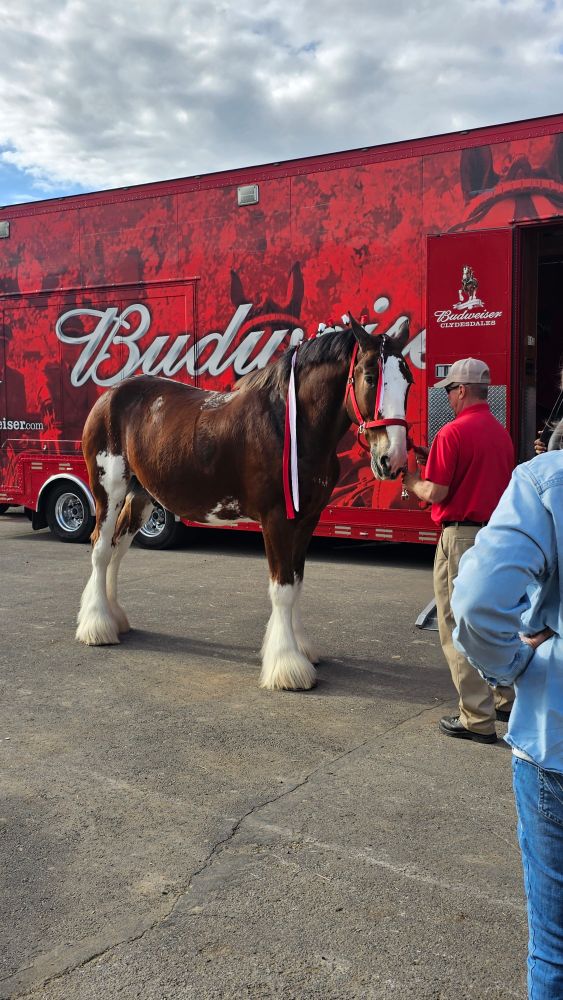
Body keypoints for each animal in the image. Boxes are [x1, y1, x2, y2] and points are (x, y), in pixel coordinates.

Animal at [75, 314, 413, 691]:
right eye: (370, 377)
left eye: (408, 382)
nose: (393, 459)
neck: (289, 424)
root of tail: (109, 396)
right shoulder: (277, 518)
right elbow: (282, 588)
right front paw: (287, 666)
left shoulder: (307, 518)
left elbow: (296, 582)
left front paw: (301, 648)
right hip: (109, 489)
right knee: (100, 548)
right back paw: (97, 627)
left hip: (142, 495)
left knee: (117, 549)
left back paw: (115, 618)